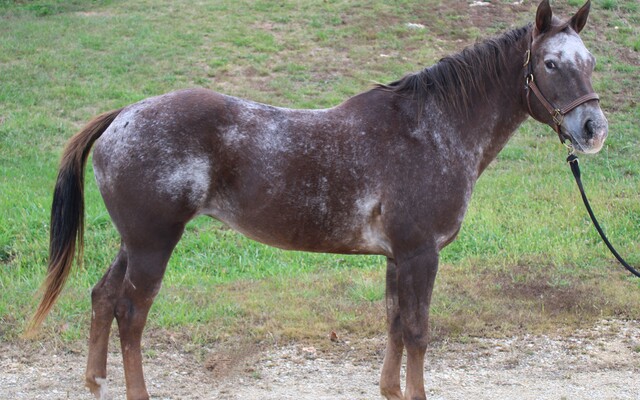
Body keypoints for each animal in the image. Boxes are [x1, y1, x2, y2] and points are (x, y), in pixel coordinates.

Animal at [27, 1, 607, 399]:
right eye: (550, 64)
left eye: (590, 60)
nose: (593, 128)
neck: (431, 130)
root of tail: (123, 115)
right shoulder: (421, 255)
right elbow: (418, 332)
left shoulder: (397, 258)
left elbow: (395, 324)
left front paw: (390, 390)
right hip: (153, 245)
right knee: (129, 313)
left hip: (134, 241)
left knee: (103, 297)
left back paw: (96, 382)